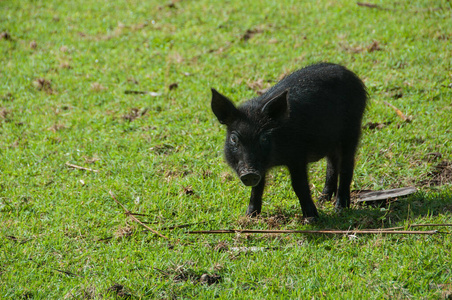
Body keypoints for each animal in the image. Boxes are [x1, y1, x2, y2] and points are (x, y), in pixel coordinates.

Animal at [211, 62, 368, 218]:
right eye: (233, 138)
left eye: (263, 137)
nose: (249, 173)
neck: (275, 159)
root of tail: (351, 75)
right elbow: (258, 186)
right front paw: (250, 215)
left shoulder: (297, 156)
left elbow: (299, 185)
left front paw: (312, 218)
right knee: (332, 163)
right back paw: (323, 199)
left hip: (352, 130)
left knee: (347, 165)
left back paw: (340, 208)